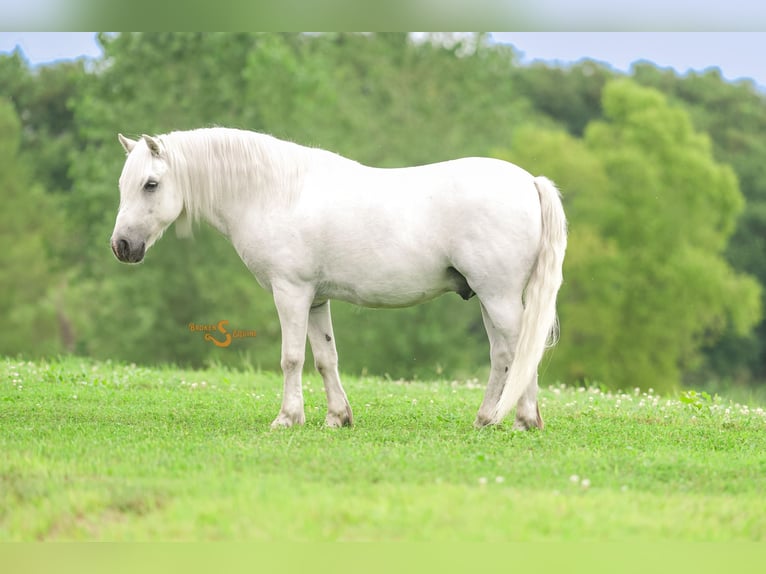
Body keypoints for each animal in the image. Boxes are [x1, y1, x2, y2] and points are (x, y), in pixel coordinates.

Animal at [110, 127, 567, 430]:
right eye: (123, 184)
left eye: (150, 184)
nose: (122, 246)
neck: (276, 192)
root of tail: (529, 181)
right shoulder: (315, 300)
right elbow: (325, 358)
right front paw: (337, 417)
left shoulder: (290, 293)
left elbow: (292, 358)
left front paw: (287, 418)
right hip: (490, 298)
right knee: (503, 355)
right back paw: (487, 418)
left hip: (499, 297)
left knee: (521, 351)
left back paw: (525, 420)